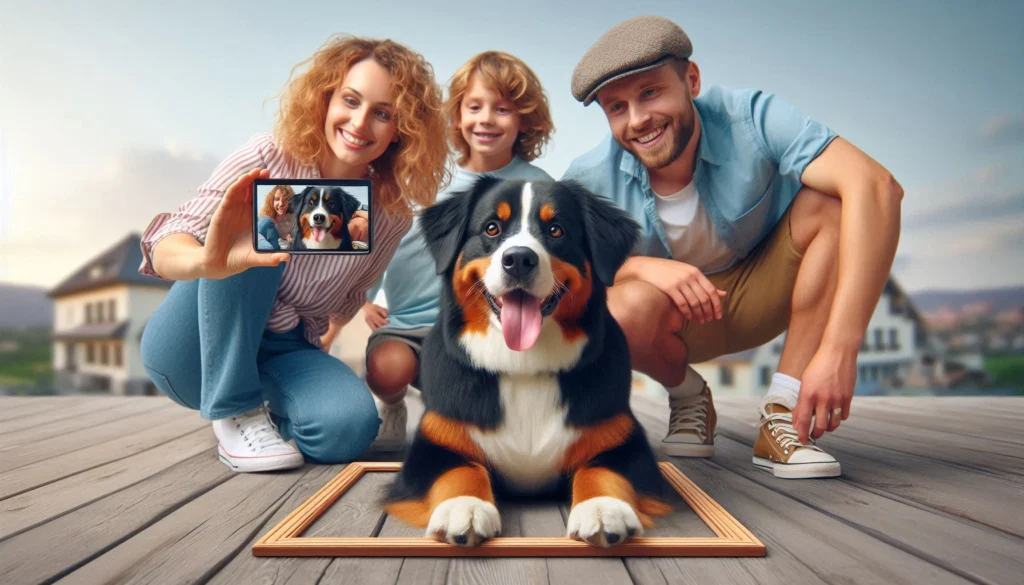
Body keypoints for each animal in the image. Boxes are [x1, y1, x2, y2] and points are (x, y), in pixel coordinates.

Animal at [380, 177, 667, 549]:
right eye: (492, 227)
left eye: (556, 230)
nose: (518, 259)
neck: (524, 367)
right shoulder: (435, 441)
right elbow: (460, 469)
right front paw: (465, 508)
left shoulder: (622, 439)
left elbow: (602, 468)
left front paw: (603, 509)